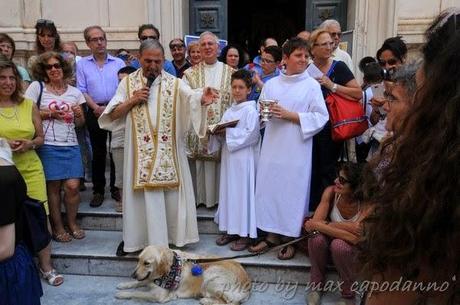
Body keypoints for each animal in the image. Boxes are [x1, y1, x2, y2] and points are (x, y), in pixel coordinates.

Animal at [115, 245, 252, 304]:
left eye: (147, 263)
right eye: (138, 260)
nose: (133, 275)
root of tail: (247, 285)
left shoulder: (159, 296)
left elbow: (138, 293)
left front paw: (122, 294)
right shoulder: (149, 279)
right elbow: (140, 282)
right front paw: (124, 284)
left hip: (210, 274)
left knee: (230, 302)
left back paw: (206, 300)